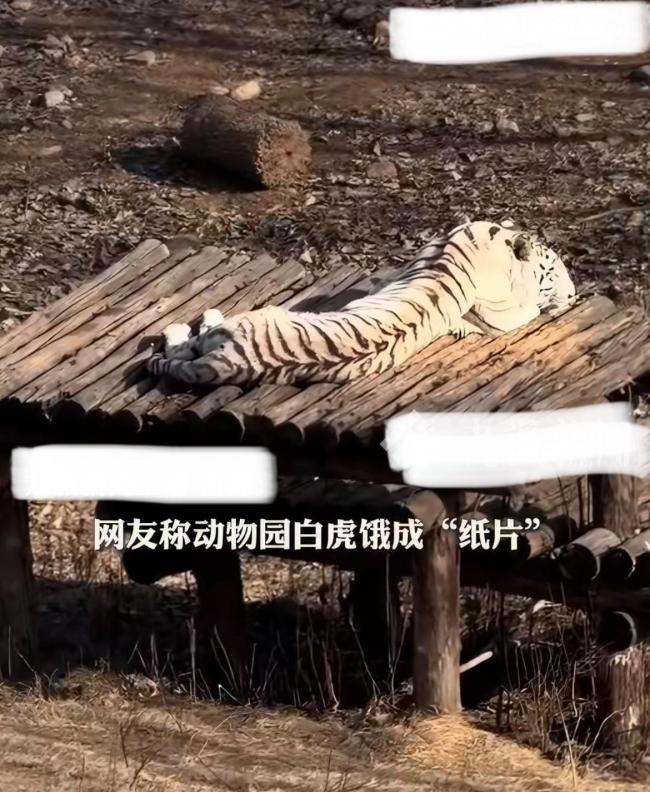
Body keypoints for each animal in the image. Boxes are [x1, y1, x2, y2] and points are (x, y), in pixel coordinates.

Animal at [147, 220, 576, 387]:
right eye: (554, 269)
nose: (573, 295)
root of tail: (226, 363)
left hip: (242, 324)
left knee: (186, 343)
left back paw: (186, 323)